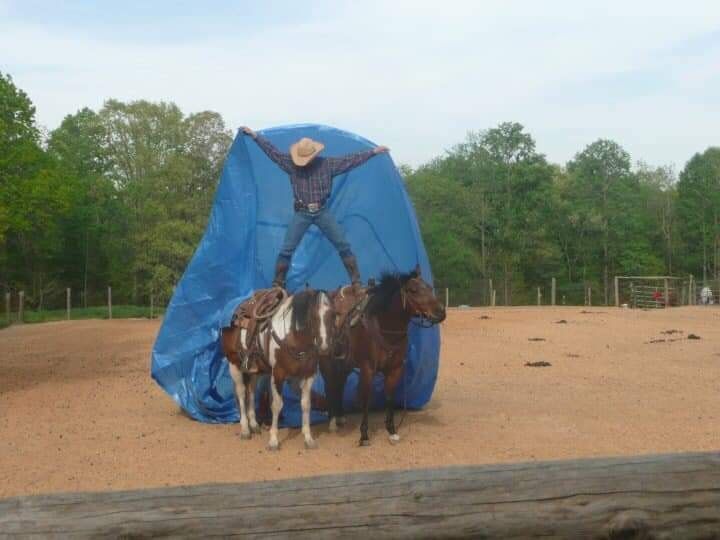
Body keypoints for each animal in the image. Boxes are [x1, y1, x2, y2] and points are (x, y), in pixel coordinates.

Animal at [222, 288, 334, 450]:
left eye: (333, 314)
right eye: (313, 316)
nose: (324, 347)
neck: (292, 337)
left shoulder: (309, 374)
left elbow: (306, 404)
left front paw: (308, 438)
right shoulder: (278, 374)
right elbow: (276, 405)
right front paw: (273, 441)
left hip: (255, 370)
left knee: (251, 392)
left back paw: (254, 425)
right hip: (234, 365)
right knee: (242, 393)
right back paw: (245, 430)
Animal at [322, 266, 444, 448]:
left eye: (429, 287)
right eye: (413, 290)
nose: (441, 312)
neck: (385, 328)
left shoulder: (395, 369)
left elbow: (389, 397)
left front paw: (392, 431)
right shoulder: (367, 369)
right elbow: (366, 399)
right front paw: (364, 435)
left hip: (345, 364)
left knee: (339, 385)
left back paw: (341, 417)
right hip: (326, 364)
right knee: (329, 386)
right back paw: (332, 422)